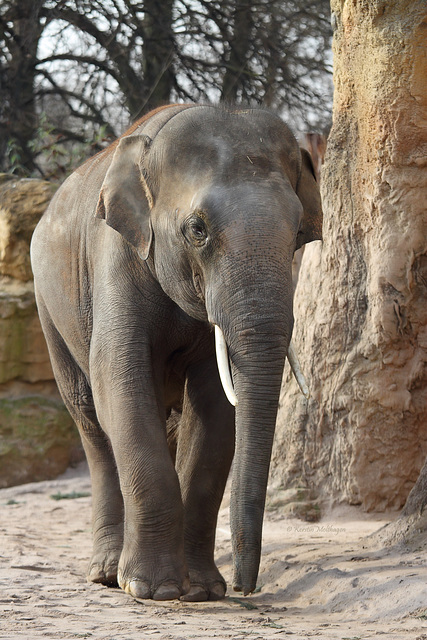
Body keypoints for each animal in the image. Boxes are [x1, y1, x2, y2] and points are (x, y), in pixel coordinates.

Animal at [30, 102, 320, 604]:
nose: (244, 588)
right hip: (50, 310)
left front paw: (202, 591)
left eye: (298, 232)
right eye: (197, 229)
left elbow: (215, 407)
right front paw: (154, 590)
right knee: (91, 420)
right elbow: (120, 380)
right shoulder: (116, 255)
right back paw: (107, 574)